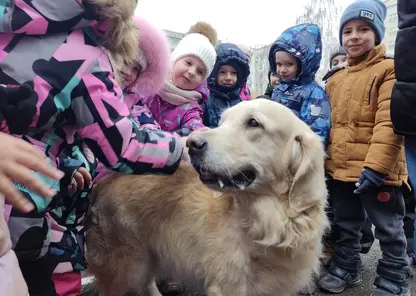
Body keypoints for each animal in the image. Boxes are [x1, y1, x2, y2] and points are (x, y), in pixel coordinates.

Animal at [86, 98, 330, 294]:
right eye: (222, 122)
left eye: (253, 123)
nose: (192, 144)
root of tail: (103, 182)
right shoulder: (227, 286)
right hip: (125, 268)